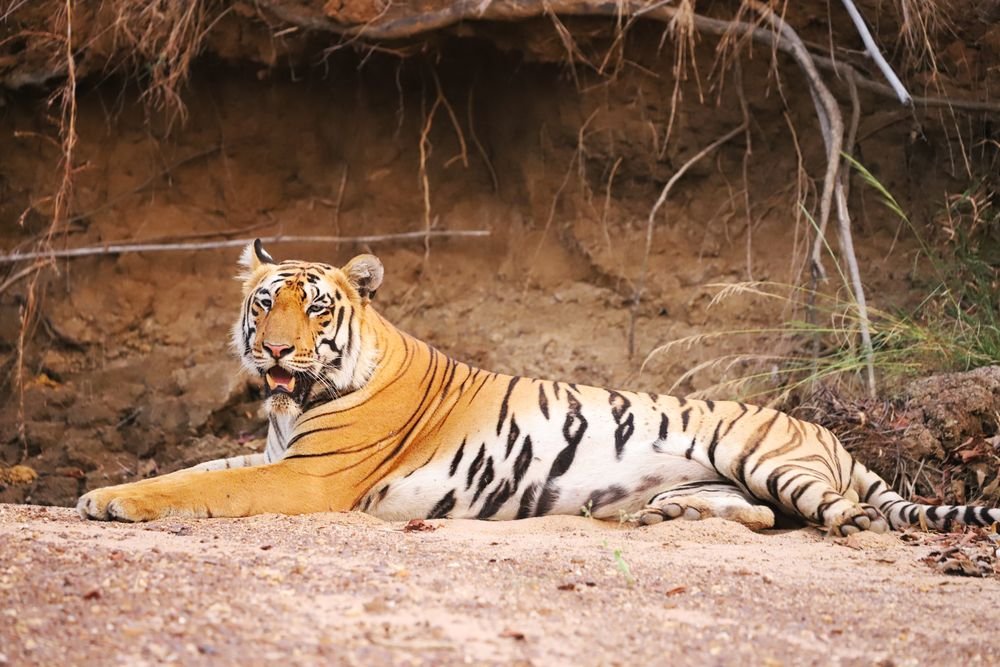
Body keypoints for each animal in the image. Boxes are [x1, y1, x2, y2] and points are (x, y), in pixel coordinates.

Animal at [77, 240, 1000, 536]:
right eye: (265, 303)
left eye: (315, 310)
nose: (273, 350)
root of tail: (831, 435)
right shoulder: (276, 455)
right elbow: (197, 471)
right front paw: (99, 491)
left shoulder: (308, 475)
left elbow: (198, 487)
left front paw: (113, 501)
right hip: (731, 477)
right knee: (760, 514)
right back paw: (651, 514)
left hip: (763, 453)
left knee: (838, 516)